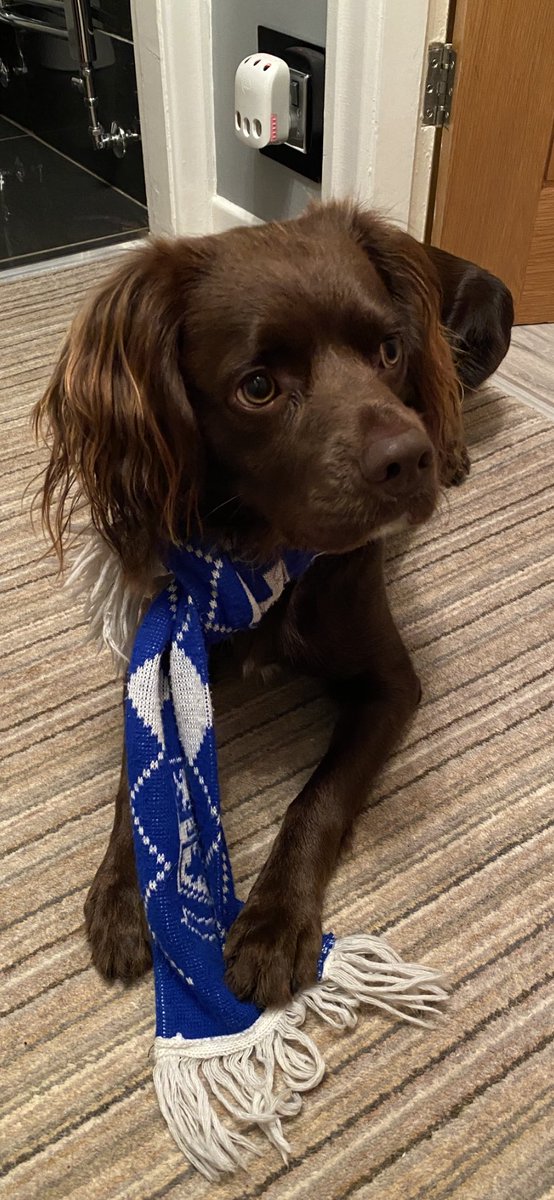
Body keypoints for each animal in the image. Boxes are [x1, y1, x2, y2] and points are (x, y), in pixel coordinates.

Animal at [33, 201, 510, 1008]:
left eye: (389, 350)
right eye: (257, 387)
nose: (408, 460)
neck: (258, 557)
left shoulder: (392, 684)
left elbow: (318, 798)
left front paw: (273, 923)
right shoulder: (162, 643)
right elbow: (142, 766)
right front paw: (126, 892)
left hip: (489, 317)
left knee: (451, 389)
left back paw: (454, 450)